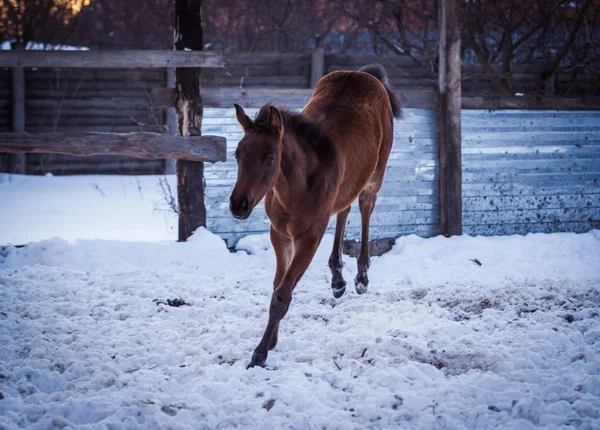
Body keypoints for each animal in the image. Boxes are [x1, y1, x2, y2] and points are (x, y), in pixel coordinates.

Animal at [230, 64, 404, 370]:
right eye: (238, 154)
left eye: (270, 158)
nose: (238, 205)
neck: (294, 190)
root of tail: (365, 73)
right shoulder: (280, 234)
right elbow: (277, 286)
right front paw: (271, 340)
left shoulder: (309, 238)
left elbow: (282, 295)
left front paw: (260, 352)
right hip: (350, 180)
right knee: (344, 207)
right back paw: (337, 279)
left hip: (375, 176)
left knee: (365, 206)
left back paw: (361, 277)